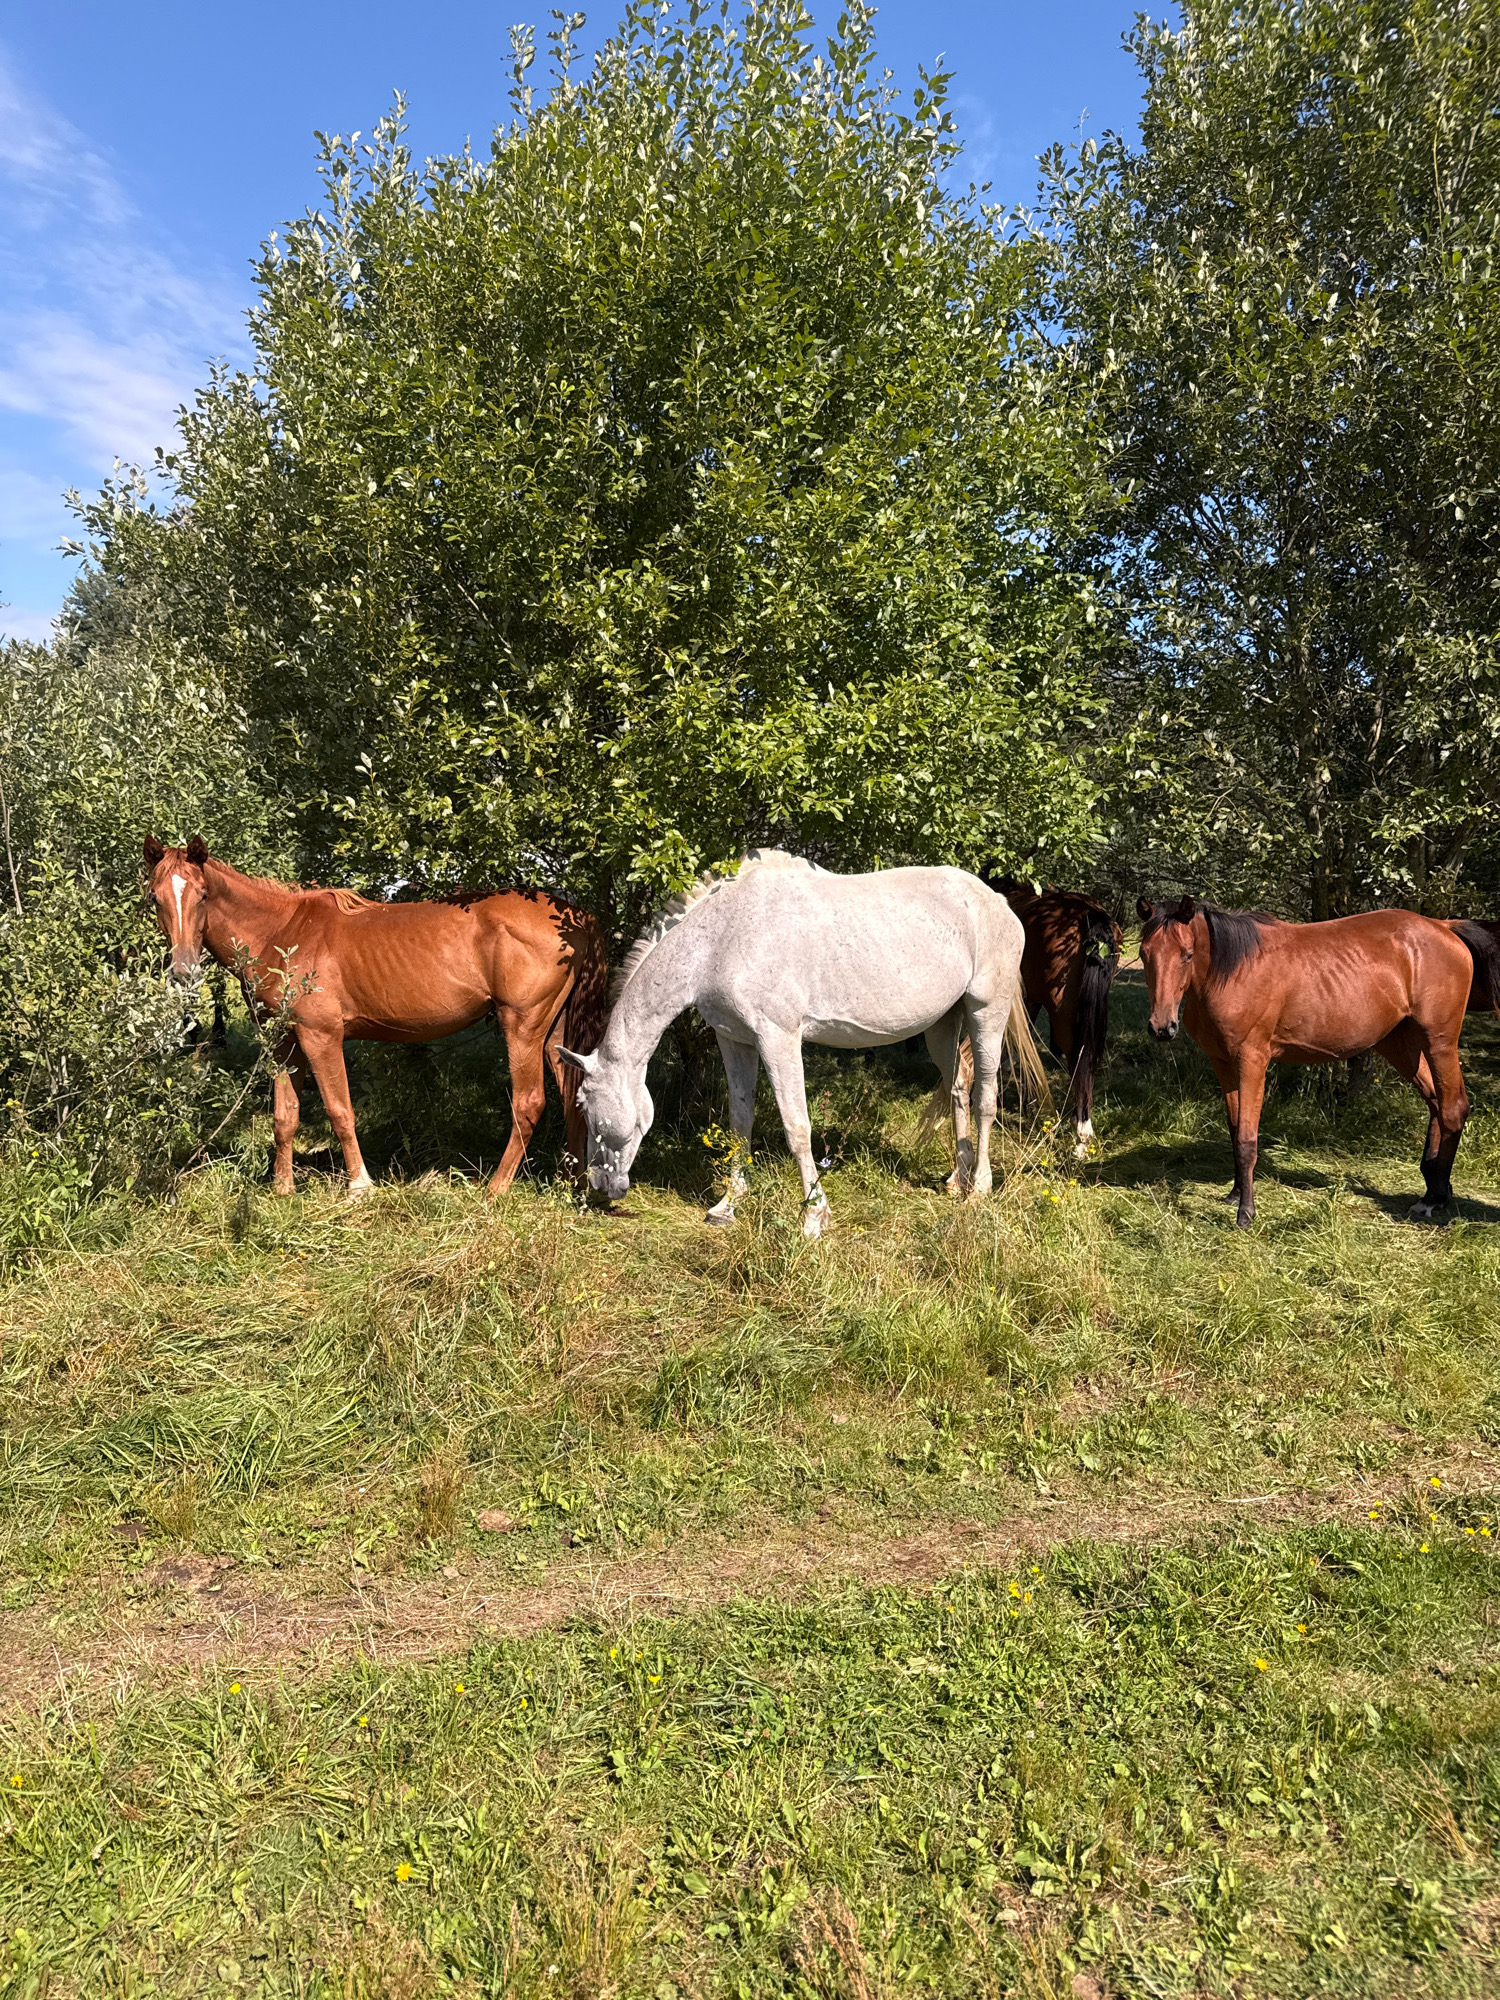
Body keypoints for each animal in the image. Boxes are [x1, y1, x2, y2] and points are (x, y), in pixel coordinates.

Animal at [143, 836, 608, 1197]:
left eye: (203, 895)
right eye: (155, 899)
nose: (184, 971)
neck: (282, 934)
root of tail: (575, 917)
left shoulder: (320, 1037)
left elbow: (339, 1110)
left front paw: (359, 1186)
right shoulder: (283, 1042)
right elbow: (285, 1115)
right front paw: (282, 1189)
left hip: (521, 1026)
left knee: (529, 1103)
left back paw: (496, 1188)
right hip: (554, 1032)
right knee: (573, 1092)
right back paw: (572, 1181)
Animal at [557, 852, 1048, 1235]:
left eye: (583, 1104)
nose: (598, 1185)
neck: (721, 938)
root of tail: (999, 902)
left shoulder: (779, 1037)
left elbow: (797, 1127)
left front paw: (814, 1215)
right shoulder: (735, 1040)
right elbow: (740, 1121)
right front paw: (727, 1205)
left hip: (986, 1013)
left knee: (985, 1096)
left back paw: (978, 1189)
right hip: (943, 1025)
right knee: (958, 1089)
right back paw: (954, 1180)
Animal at [1137, 894, 1500, 1227]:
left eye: (1187, 955)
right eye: (1144, 954)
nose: (1161, 1027)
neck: (1233, 971)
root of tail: (1444, 927)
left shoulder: (1252, 1062)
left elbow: (1246, 1139)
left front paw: (1246, 1213)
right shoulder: (1223, 1064)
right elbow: (1235, 1128)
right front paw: (1236, 1194)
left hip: (1439, 1042)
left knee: (1453, 1108)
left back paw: (1432, 1199)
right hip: (1402, 1046)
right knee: (1436, 1103)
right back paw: (1435, 1186)